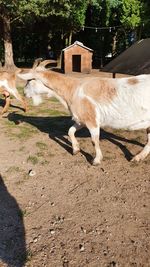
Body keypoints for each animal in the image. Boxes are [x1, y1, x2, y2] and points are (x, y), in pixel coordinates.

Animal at [18, 60, 150, 165]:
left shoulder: (92, 120)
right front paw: (75, 150)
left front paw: (96, 160)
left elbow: (94, 140)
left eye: (29, 80)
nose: (24, 93)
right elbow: (70, 131)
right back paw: (138, 157)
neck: (73, 89)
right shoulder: (81, 119)